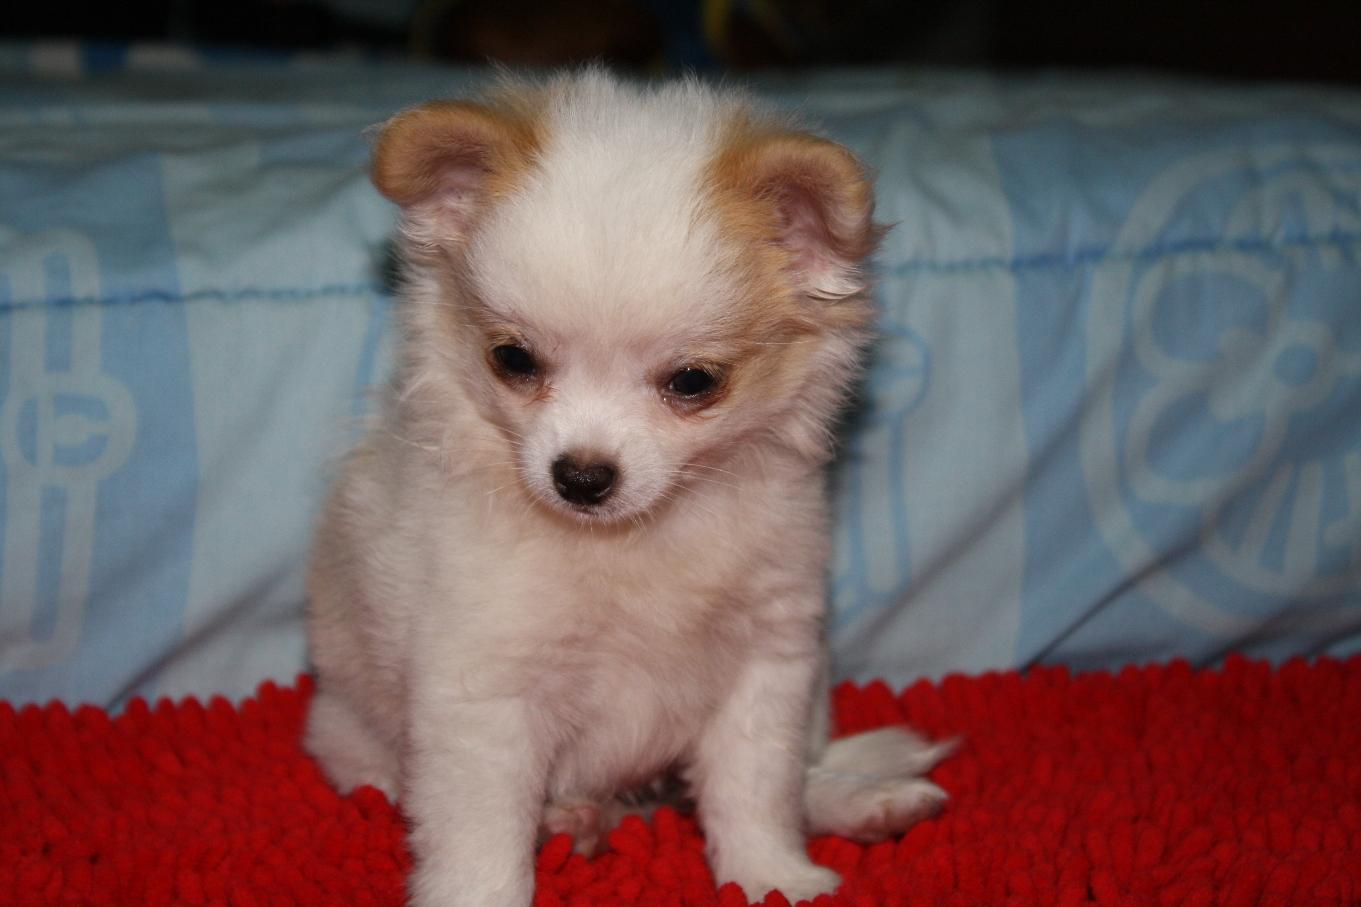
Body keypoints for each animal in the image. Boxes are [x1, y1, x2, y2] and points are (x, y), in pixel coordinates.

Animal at [304, 69, 953, 906]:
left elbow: (754, 789)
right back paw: (573, 817)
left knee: (790, 778)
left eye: (693, 381)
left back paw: (864, 801)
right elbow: (480, 834)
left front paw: (773, 877)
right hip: (350, 737)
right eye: (512, 359)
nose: (580, 476)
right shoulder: (482, 690)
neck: (635, 542)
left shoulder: (768, 664)